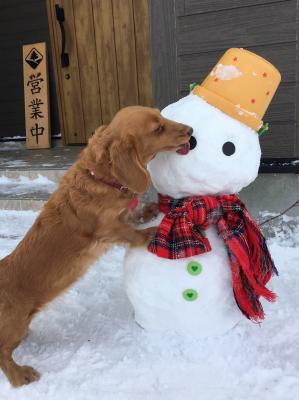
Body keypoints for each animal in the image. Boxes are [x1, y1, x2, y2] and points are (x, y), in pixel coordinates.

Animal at [0, 104, 192, 386]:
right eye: (158, 128)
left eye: (162, 116)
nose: (191, 130)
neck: (102, 178)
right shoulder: (107, 229)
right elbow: (131, 234)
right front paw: (151, 231)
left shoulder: (123, 214)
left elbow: (135, 214)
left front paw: (151, 209)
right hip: (14, 325)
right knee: (3, 353)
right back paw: (21, 375)